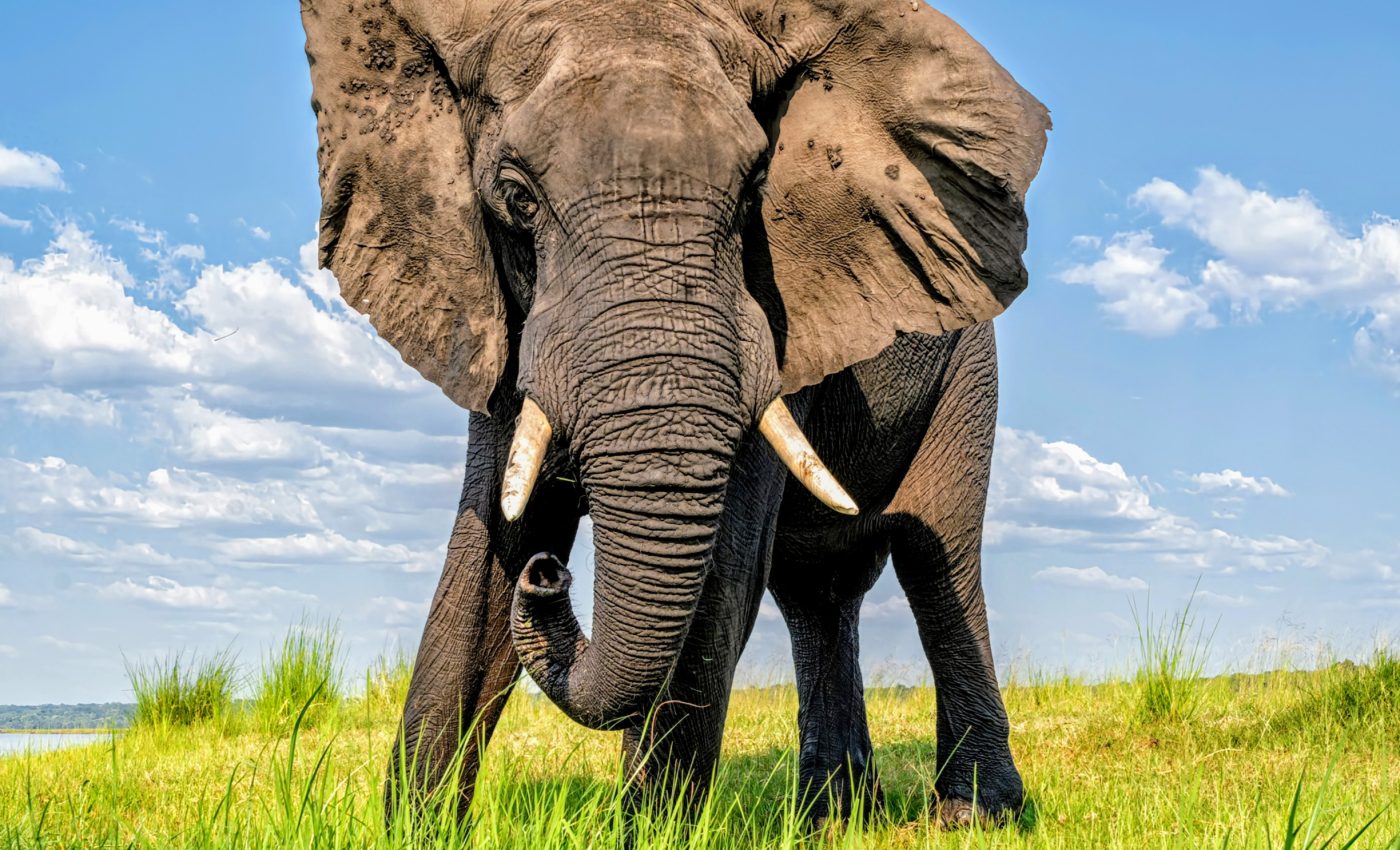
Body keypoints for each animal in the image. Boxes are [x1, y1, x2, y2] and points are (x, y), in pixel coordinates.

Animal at [301, 0, 1049, 828]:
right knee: (816, 590)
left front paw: (651, 831)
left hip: (968, 366)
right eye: (518, 198)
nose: (549, 576)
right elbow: (489, 551)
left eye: (756, 192)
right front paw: (421, 828)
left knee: (933, 556)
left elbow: (717, 570)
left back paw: (974, 815)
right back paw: (830, 817)